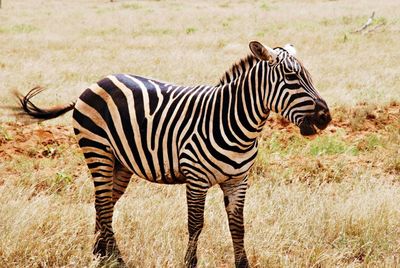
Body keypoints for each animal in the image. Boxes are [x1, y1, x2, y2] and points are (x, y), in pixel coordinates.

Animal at [16, 40, 332, 266]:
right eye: (291, 77)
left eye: (308, 75)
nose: (325, 117)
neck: (236, 122)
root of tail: (96, 82)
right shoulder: (197, 178)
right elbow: (196, 224)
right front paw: (189, 263)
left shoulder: (238, 181)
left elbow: (238, 226)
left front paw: (243, 265)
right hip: (98, 151)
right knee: (104, 204)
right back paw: (116, 260)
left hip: (120, 163)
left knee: (103, 205)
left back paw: (100, 255)